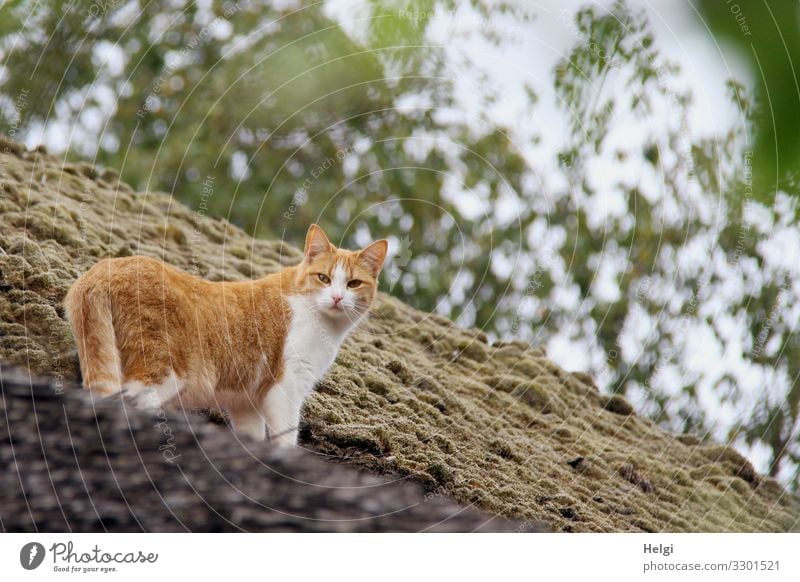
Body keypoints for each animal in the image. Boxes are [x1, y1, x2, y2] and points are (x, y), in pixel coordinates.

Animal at [64, 225, 390, 448]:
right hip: (162, 373)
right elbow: (285, 438)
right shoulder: (285, 388)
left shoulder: (246, 403)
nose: (336, 298)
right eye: (323, 278)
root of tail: (103, 269)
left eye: (353, 283)